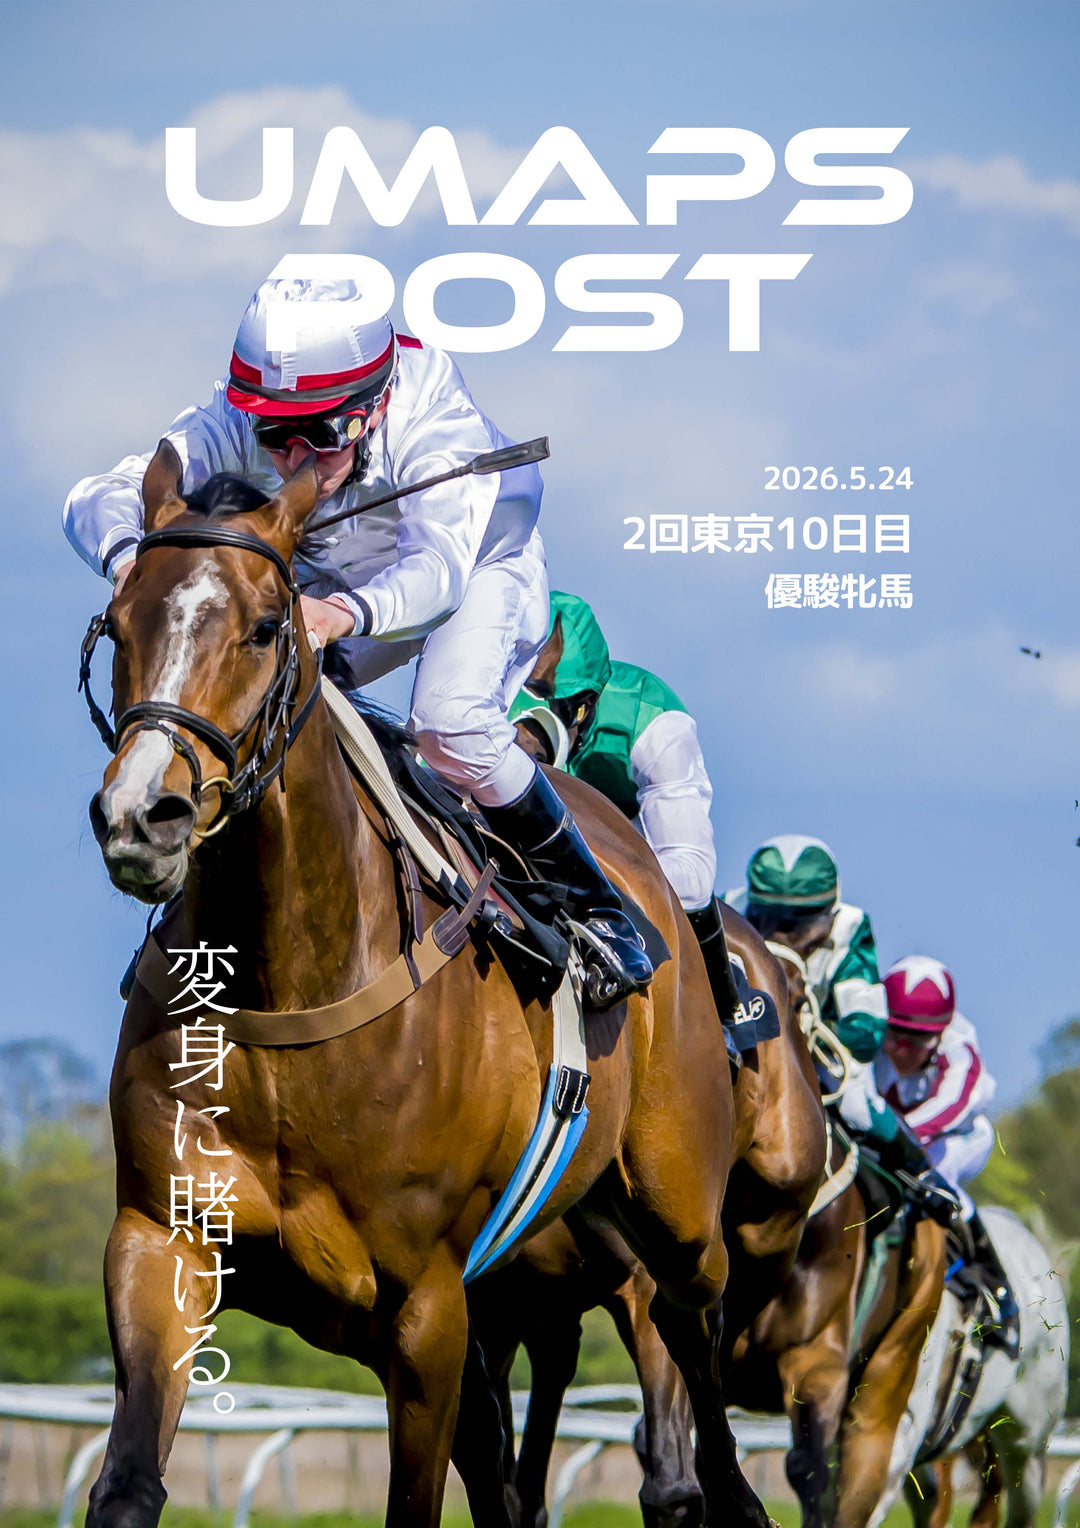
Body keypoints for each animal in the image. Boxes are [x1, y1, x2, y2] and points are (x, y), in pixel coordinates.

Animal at [79, 443, 774, 1528]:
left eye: (267, 626)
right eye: (118, 623)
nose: (141, 815)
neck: (285, 979)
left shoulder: (429, 1303)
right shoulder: (166, 1240)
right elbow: (126, 1484)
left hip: (675, 1202)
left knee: (692, 1334)